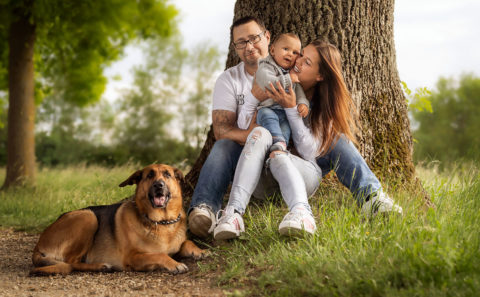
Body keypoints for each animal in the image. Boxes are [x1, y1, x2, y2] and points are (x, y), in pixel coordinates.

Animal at [30, 163, 206, 274]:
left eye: (167, 174)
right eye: (149, 175)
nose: (159, 185)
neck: (162, 222)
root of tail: (38, 245)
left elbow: (187, 242)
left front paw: (199, 251)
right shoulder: (133, 257)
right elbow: (160, 255)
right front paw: (175, 265)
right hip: (88, 217)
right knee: (70, 262)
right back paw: (100, 266)